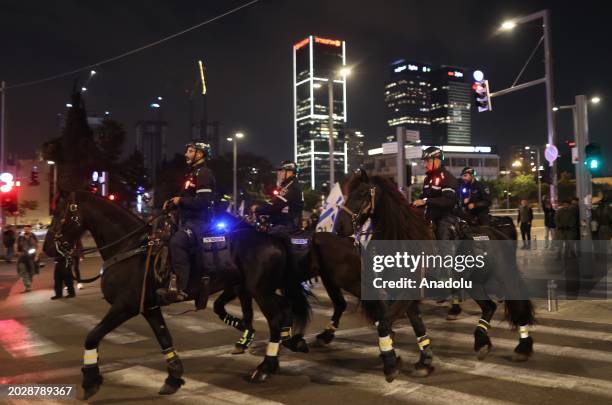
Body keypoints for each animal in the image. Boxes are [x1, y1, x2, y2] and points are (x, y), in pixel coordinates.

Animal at [43, 191, 310, 400]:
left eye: (59, 216)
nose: (46, 249)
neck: (130, 248)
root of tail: (272, 237)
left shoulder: (124, 306)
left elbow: (92, 336)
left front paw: (90, 380)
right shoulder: (148, 307)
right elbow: (164, 338)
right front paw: (173, 377)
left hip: (259, 291)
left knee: (275, 319)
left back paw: (265, 366)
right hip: (259, 289)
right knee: (285, 308)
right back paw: (282, 345)